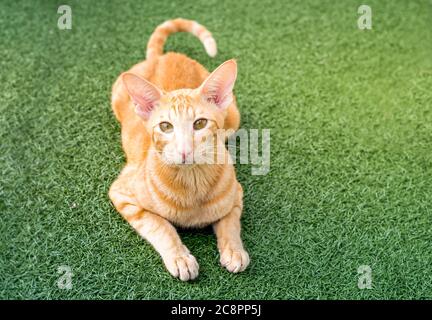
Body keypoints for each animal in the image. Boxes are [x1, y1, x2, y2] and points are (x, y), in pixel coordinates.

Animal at [109, 18, 250, 282]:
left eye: (200, 123)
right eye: (165, 126)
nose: (185, 150)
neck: (193, 182)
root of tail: (166, 55)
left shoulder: (237, 194)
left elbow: (230, 223)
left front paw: (234, 250)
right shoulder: (122, 193)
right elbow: (161, 226)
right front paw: (179, 257)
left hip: (233, 118)